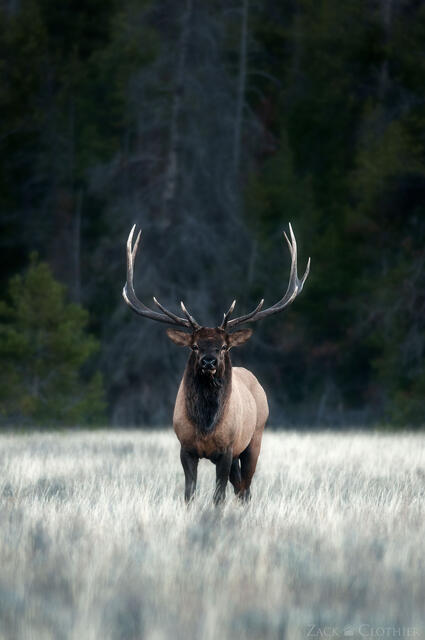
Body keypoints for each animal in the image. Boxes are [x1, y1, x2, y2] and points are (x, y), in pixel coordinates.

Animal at [122, 224, 310, 505]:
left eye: (223, 346)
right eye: (195, 346)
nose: (209, 361)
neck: (206, 426)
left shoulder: (227, 449)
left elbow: (218, 496)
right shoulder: (186, 448)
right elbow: (189, 493)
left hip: (255, 437)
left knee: (245, 487)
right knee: (240, 485)